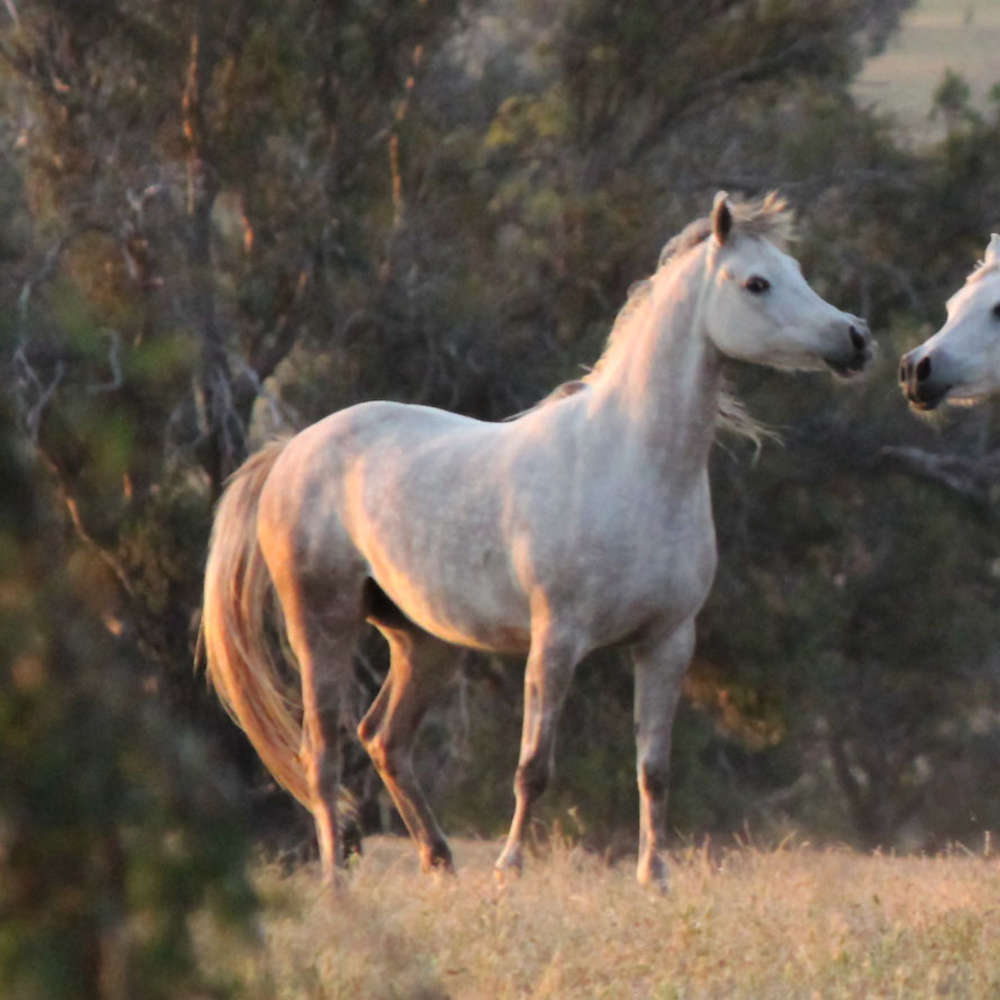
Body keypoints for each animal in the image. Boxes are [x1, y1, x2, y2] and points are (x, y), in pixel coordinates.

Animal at [200, 191, 872, 887]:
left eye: (797, 270)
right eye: (757, 282)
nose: (856, 338)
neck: (629, 464)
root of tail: (289, 450)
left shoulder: (667, 642)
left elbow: (654, 770)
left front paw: (654, 876)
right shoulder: (557, 640)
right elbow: (533, 767)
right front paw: (510, 868)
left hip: (424, 641)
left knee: (384, 738)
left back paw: (440, 863)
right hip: (322, 624)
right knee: (324, 752)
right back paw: (337, 879)